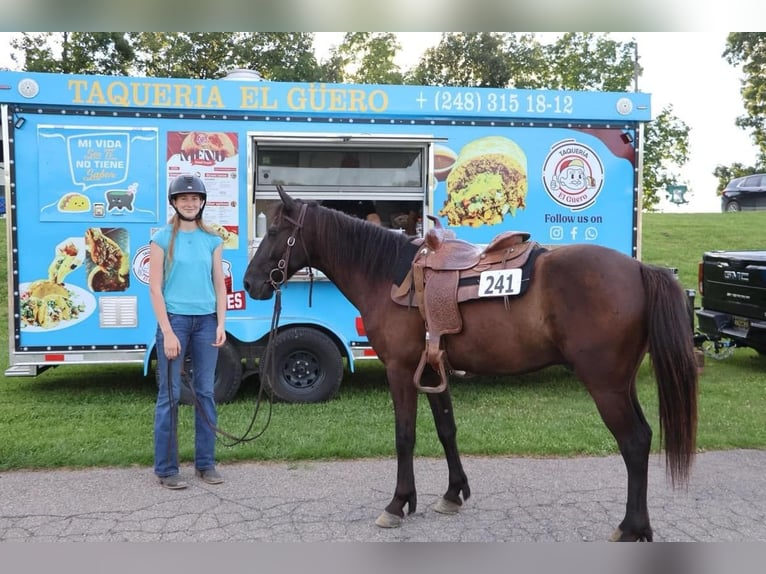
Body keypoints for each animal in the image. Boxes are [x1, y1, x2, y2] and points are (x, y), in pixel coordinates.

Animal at [243, 189, 700, 544]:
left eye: (275, 231)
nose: (250, 283)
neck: (388, 276)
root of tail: (639, 269)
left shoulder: (400, 370)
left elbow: (405, 436)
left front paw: (397, 503)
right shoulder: (432, 368)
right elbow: (447, 430)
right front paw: (452, 494)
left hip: (605, 385)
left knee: (634, 442)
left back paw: (631, 527)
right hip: (622, 383)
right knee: (643, 437)